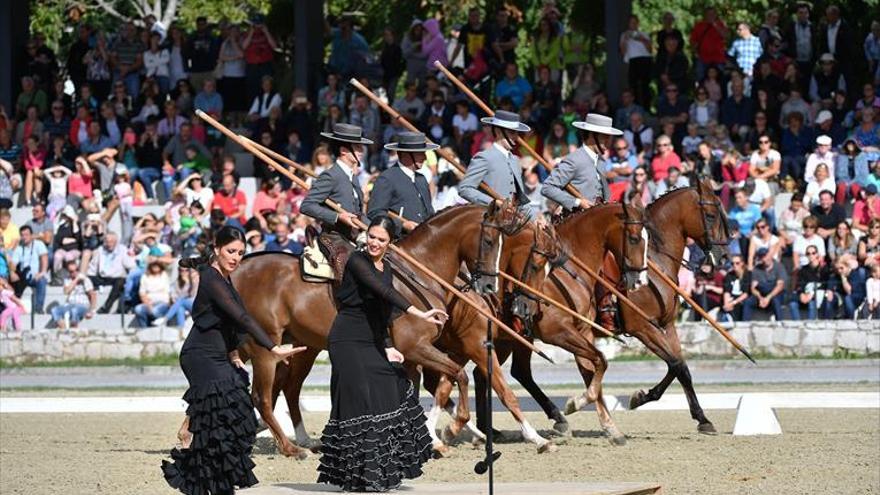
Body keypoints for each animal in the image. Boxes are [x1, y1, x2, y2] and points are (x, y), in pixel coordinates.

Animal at [232, 203, 528, 460]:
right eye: (488, 241)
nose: (490, 287)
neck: (417, 272)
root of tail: (237, 270)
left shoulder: (411, 356)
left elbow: (420, 391)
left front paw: (427, 440)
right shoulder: (415, 346)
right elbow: (460, 376)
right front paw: (449, 430)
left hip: (291, 347)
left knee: (285, 389)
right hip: (265, 349)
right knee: (262, 397)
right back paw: (292, 448)